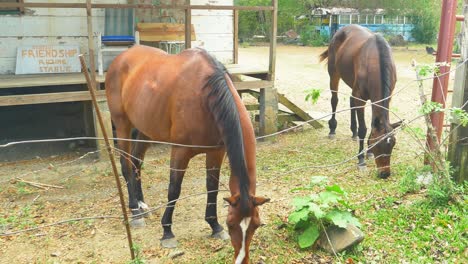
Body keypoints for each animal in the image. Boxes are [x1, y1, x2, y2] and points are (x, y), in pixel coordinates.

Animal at [104, 44, 268, 262]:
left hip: (146, 129)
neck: (205, 97)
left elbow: (212, 188)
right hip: (123, 125)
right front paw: (167, 232)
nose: (242, 258)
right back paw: (135, 212)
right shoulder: (180, 152)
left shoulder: (216, 152)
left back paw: (141, 204)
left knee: (137, 163)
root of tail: (122, 56)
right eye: (232, 224)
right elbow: (174, 189)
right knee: (126, 166)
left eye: (256, 225)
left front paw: (214, 226)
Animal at [318, 24, 402, 178]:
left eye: (393, 144)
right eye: (378, 145)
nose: (385, 173)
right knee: (334, 100)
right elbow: (364, 128)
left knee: (351, 101)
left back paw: (353, 132)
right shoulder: (361, 97)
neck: (375, 59)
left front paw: (368, 152)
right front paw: (361, 159)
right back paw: (332, 129)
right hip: (334, 74)